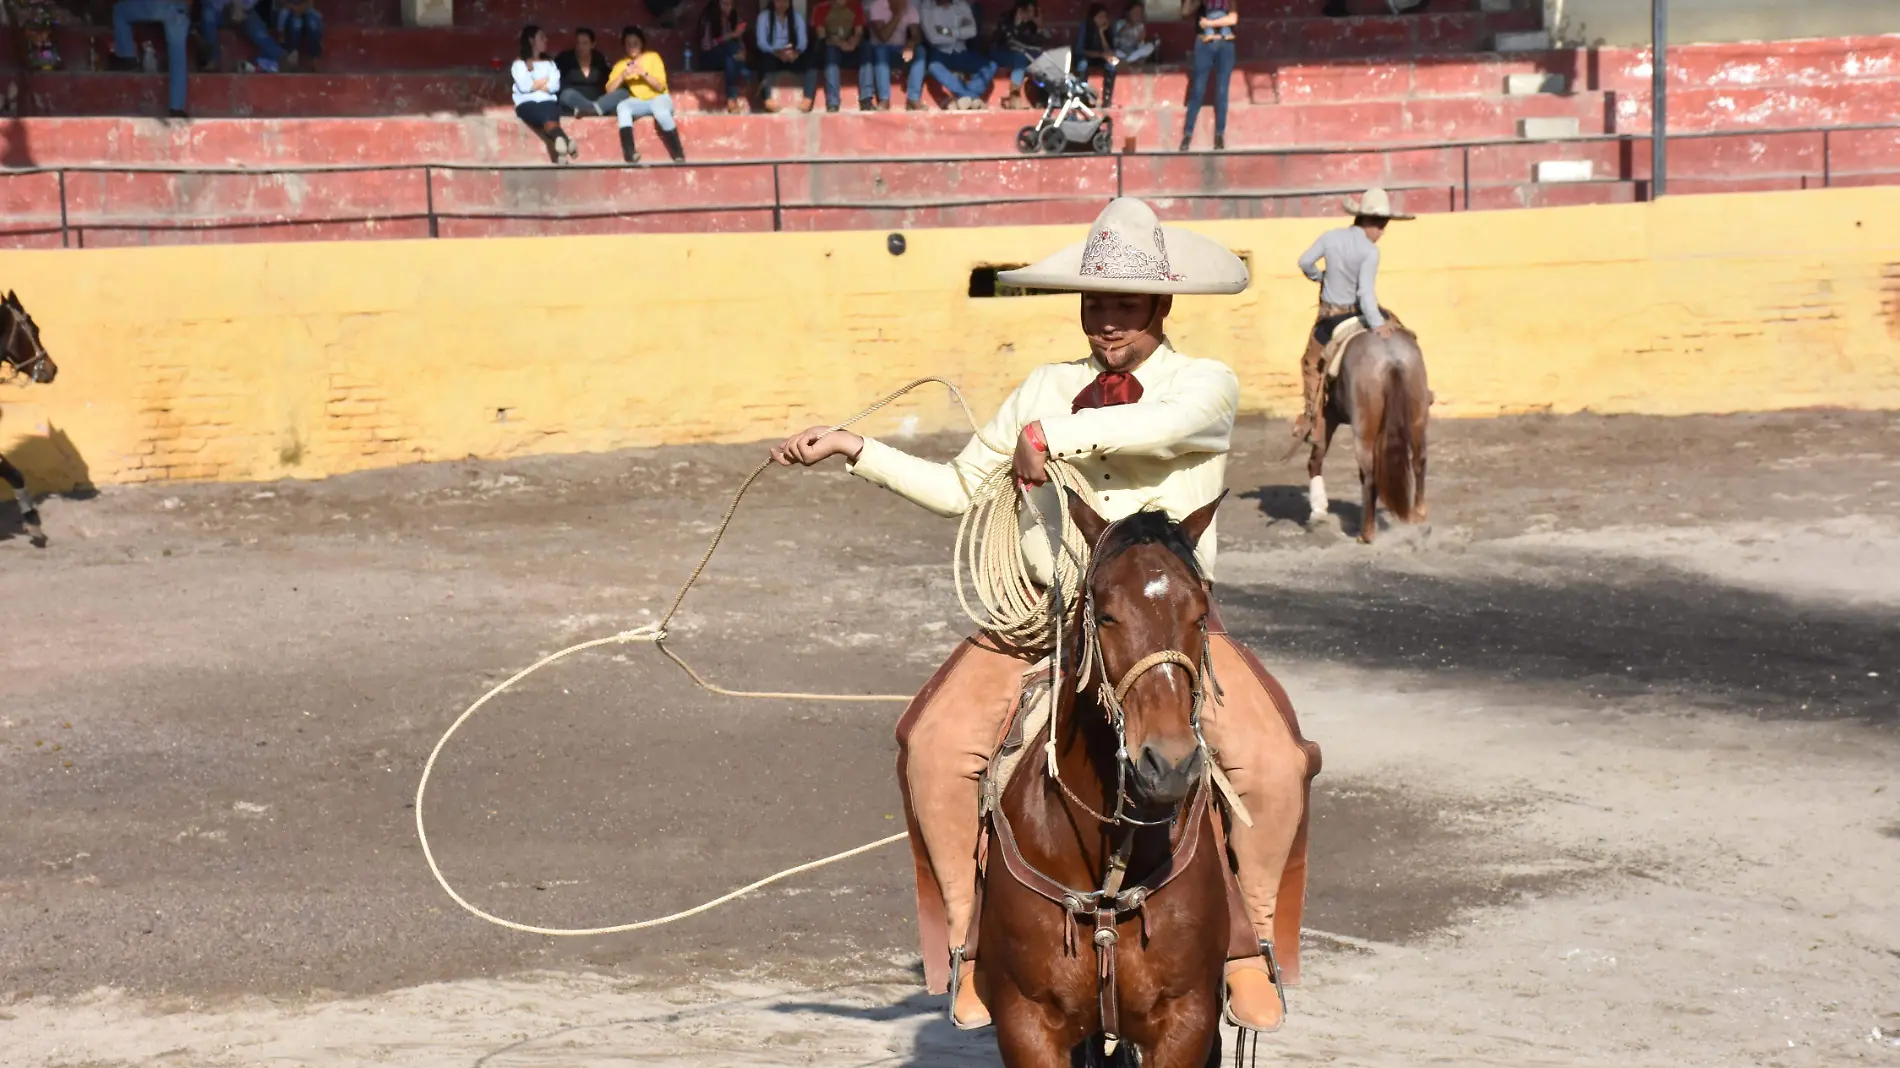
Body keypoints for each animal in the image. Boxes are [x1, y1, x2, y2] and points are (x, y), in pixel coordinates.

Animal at [1307, 326, 1428, 543]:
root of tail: (1392, 357)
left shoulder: (1328, 414)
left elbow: (1317, 455)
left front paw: (1318, 511)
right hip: (1417, 420)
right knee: (1419, 460)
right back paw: (1418, 513)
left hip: (1364, 432)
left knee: (1370, 474)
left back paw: (1366, 533)